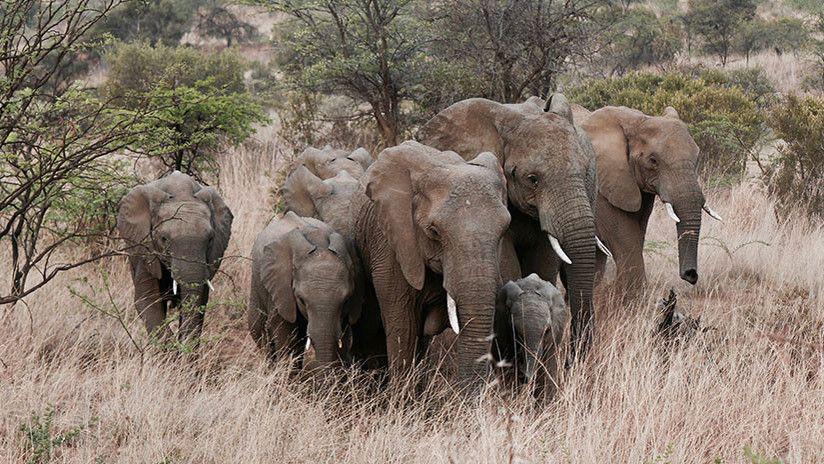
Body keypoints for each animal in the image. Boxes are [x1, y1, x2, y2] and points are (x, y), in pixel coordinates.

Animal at [248, 211, 364, 372]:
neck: (318, 242)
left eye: (346, 300)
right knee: (261, 335)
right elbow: (285, 337)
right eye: (301, 300)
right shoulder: (280, 290)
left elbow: (343, 338)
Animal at [573, 105, 722, 297]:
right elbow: (625, 237)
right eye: (653, 161)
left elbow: (638, 234)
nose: (690, 274)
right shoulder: (601, 185)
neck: (636, 120)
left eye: (697, 158)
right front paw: (627, 299)